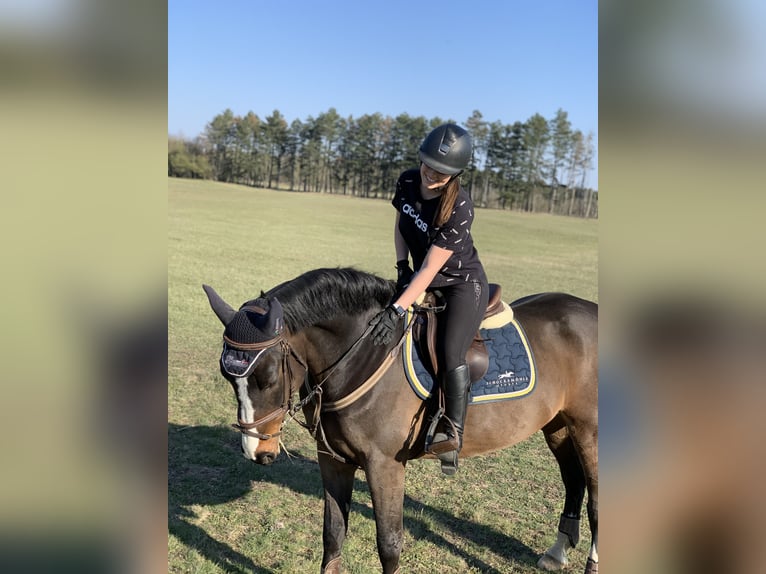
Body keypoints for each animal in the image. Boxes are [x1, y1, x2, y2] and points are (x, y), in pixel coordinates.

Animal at [204, 270, 600, 574]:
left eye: (268, 376)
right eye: (227, 377)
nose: (257, 451)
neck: (364, 356)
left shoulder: (384, 466)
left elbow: (389, 543)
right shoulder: (332, 459)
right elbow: (333, 534)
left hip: (589, 430)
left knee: (596, 496)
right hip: (558, 424)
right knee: (573, 480)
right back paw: (557, 552)